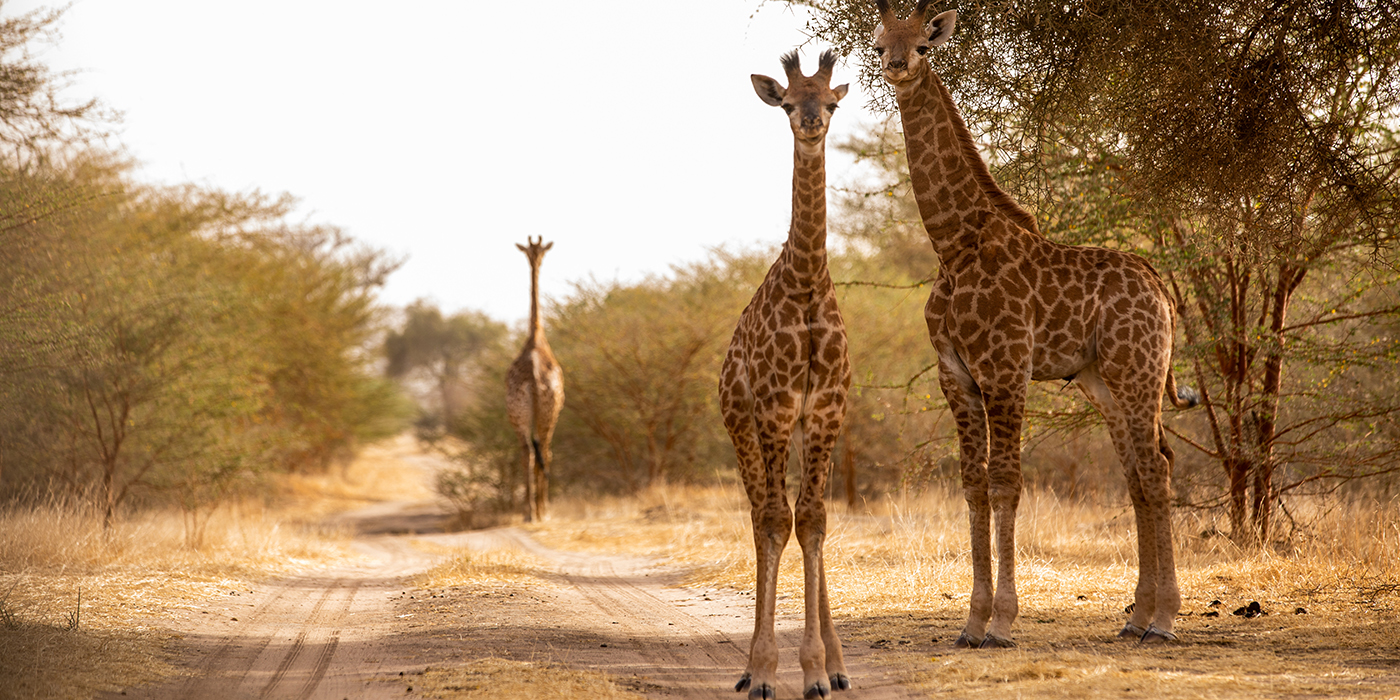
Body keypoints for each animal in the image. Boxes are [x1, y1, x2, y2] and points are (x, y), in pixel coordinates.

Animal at [870, 0, 1199, 647]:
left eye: (922, 44)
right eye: (878, 44)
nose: (896, 67)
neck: (954, 246)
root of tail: (1159, 287)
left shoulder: (1005, 370)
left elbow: (1004, 482)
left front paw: (1000, 621)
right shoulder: (956, 376)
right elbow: (972, 484)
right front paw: (971, 623)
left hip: (1138, 369)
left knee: (1155, 466)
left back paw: (1164, 621)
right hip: (1101, 381)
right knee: (1140, 470)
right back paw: (1137, 617)